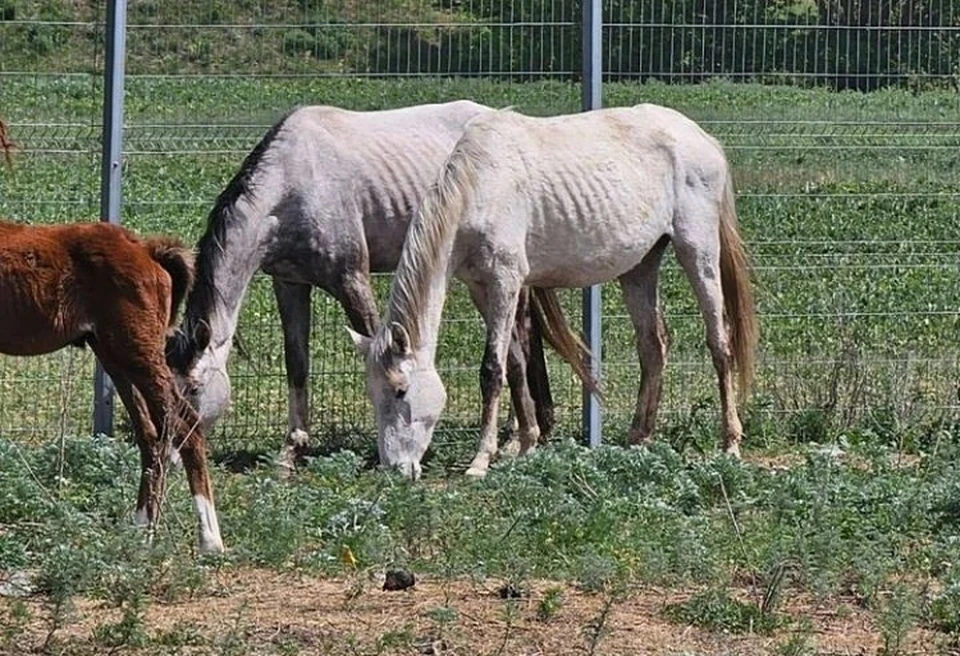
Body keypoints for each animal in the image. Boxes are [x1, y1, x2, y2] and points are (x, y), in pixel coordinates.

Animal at [0, 220, 224, 552]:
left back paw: (209, 541)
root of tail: (147, 251)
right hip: (113, 355)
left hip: (137, 350)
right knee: (151, 434)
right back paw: (141, 531)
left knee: (185, 424)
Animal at [350, 104, 756, 482]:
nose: (395, 469)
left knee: (719, 343)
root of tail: (701, 137)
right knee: (653, 346)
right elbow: (515, 363)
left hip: (698, 250)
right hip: (640, 267)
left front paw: (481, 460)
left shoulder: (505, 280)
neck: (480, 185)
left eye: (401, 390)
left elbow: (491, 369)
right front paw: (526, 443)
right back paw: (637, 438)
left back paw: (730, 444)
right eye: (372, 393)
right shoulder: (481, 287)